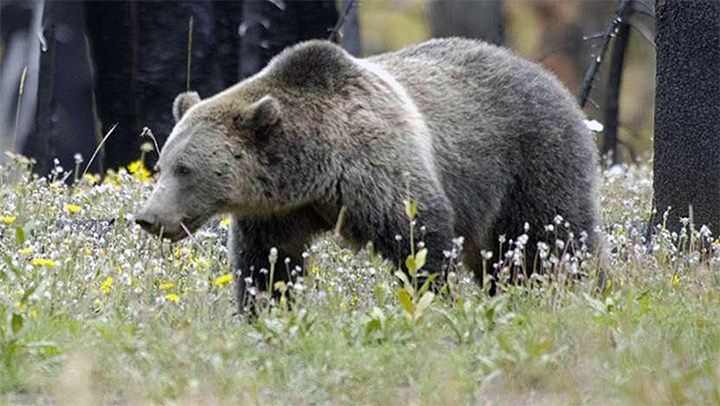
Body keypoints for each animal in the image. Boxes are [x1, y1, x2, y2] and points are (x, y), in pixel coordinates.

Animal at [135, 38, 600, 310]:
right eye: (161, 165)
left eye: (185, 169)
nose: (149, 218)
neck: (315, 169)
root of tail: (549, 77)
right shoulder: (279, 212)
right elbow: (268, 263)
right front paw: (266, 310)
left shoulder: (378, 169)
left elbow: (419, 239)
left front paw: (434, 301)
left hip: (532, 160)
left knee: (550, 239)